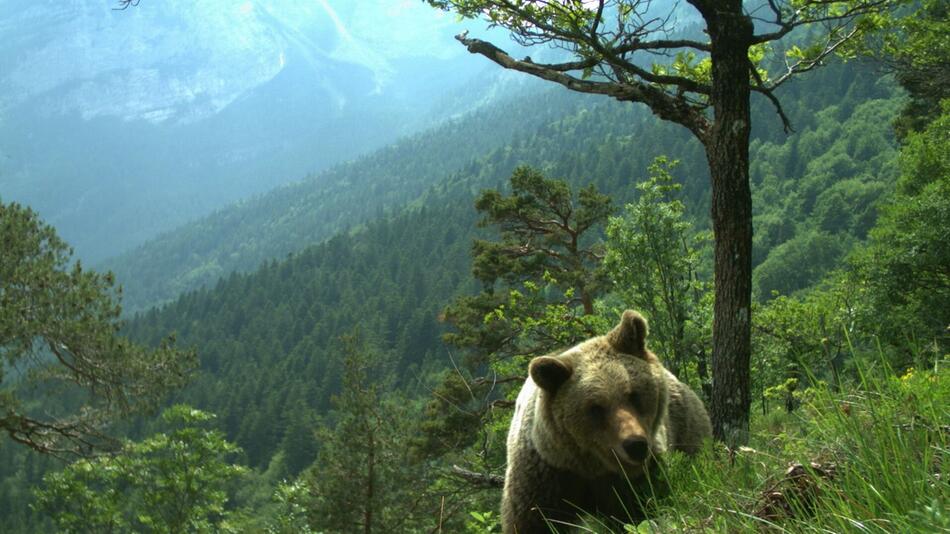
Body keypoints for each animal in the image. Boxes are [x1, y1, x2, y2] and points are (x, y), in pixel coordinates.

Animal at [502, 312, 712, 532]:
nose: (636, 445)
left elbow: (641, 511)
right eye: (595, 408)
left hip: (687, 427)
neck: (592, 467)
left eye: (633, 394)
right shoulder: (546, 475)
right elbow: (533, 520)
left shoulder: (636, 478)